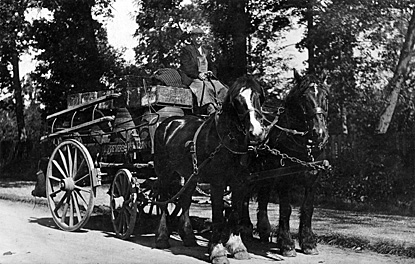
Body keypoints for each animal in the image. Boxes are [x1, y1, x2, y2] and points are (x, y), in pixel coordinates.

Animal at [153, 75, 266, 262]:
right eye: (237, 100)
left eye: (258, 97)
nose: (256, 132)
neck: (226, 140)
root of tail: (167, 123)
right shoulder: (218, 183)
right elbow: (218, 216)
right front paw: (217, 251)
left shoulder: (240, 183)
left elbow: (235, 213)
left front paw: (238, 247)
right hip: (164, 172)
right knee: (163, 200)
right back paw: (162, 237)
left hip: (190, 176)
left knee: (185, 201)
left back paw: (188, 237)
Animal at [244, 69, 328, 256]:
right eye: (304, 97)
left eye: (325, 96)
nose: (319, 133)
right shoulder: (284, 178)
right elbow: (286, 209)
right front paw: (287, 243)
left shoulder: (313, 178)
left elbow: (307, 208)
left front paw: (308, 242)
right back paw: (244, 227)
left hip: (266, 173)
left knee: (263, 197)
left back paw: (263, 230)